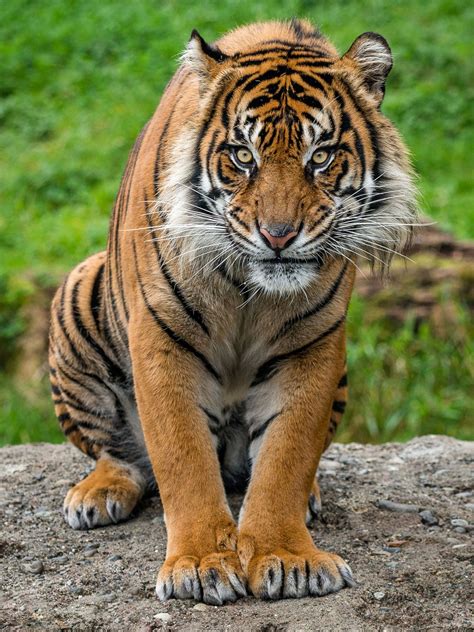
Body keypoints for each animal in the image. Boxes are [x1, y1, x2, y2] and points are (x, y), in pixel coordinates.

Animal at [50, 18, 416, 604]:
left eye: (320, 156)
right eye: (243, 156)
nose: (278, 235)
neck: (252, 290)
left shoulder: (314, 348)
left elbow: (287, 458)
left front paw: (287, 556)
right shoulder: (161, 340)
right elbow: (183, 459)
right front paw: (200, 564)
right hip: (78, 290)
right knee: (119, 453)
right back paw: (98, 494)